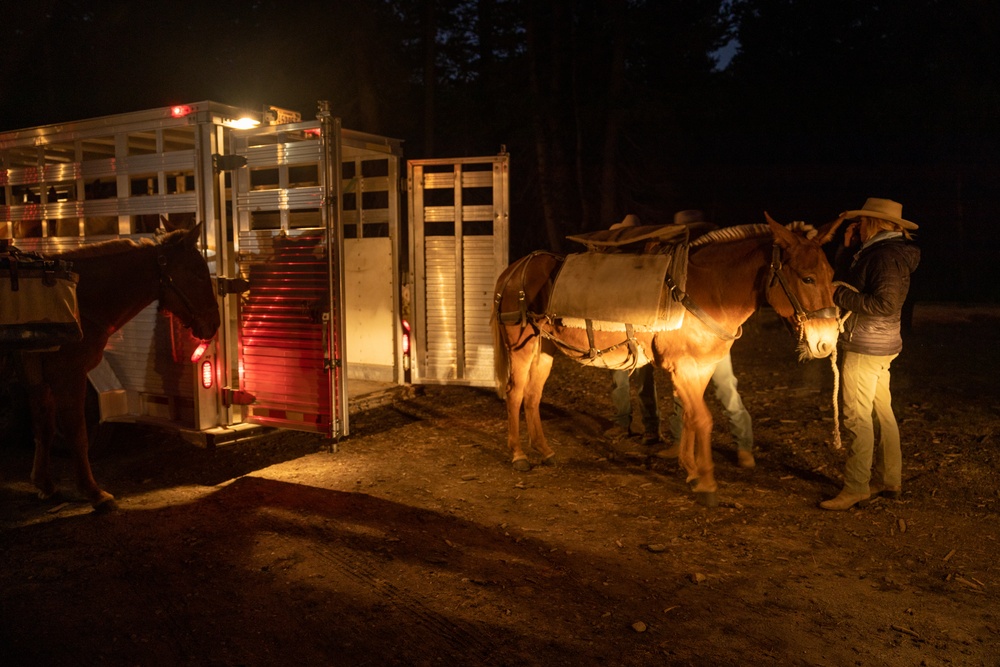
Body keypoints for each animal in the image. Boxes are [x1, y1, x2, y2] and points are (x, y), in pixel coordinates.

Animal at [12, 224, 219, 512]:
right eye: (199, 274)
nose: (215, 322)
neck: (76, 298)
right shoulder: (69, 374)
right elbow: (77, 433)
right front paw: (94, 492)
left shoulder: (39, 376)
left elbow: (44, 428)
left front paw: (45, 484)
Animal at [492, 215, 844, 506]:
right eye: (807, 278)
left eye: (831, 275)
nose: (825, 342)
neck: (707, 291)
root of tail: (514, 269)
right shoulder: (685, 368)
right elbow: (703, 419)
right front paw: (706, 484)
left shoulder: (701, 368)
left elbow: (690, 416)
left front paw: (691, 471)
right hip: (521, 347)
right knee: (514, 394)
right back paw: (519, 455)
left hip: (544, 350)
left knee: (532, 397)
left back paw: (545, 451)